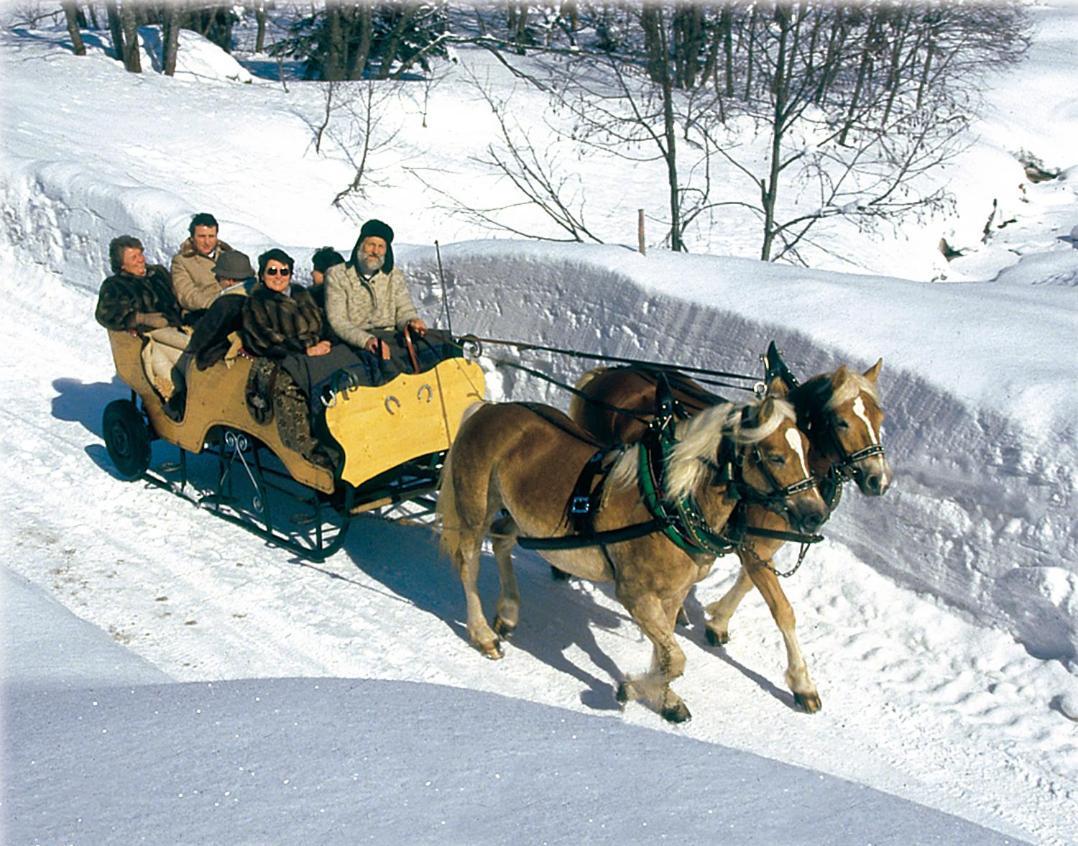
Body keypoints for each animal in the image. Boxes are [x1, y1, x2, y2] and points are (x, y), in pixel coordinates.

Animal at [437, 392, 823, 724]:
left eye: (807, 450)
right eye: (774, 456)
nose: (816, 514)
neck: (671, 502)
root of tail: (488, 408)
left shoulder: (673, 594)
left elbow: (665, 654)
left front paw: (664, 699)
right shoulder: (635, 595)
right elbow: (676, 658)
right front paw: (631, 689)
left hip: (519, 517)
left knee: (502, 541)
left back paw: (508, 613)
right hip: (474, 507)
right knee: (469, 563)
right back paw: (483, 634)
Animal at [573, 359, 892, 711]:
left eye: (879, 419)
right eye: (842, 422)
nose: (879, 480)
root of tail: (606, 373)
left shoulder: (760, 545)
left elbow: (748, 583)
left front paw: (717, 620)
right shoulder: (753, 545)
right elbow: (783, 610)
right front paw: (802, 683)